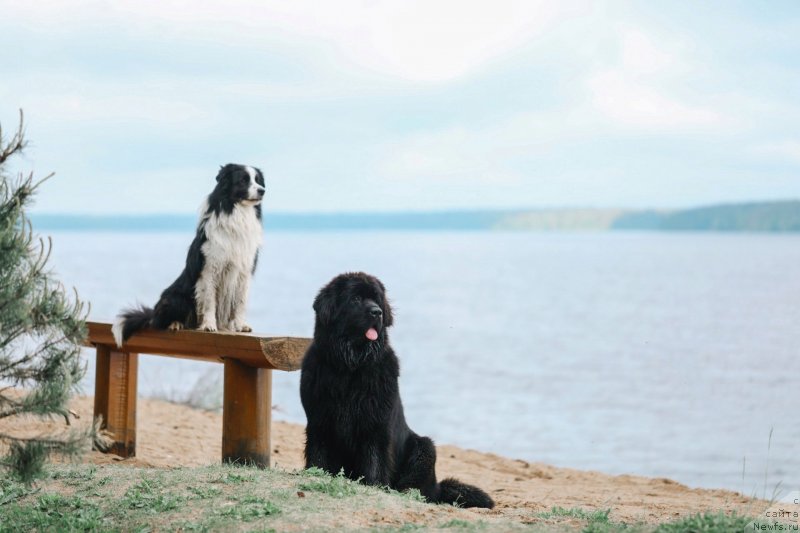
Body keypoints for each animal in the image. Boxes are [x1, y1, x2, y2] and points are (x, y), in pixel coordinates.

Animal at [112, 163, 266, 344]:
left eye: (258, 180)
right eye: (243, 180)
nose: (262, 190)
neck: (238, 213)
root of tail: (153, 313)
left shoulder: (244, 271)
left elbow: (240, 302)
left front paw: (241, 325)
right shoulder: (210, 269)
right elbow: (210, 301)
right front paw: (209, 325)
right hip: (175, 298)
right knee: (159, 321)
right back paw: (175, 323)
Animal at [300, 272, 494, 510]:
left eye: (376, 299)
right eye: (355, 299)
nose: (377, 312)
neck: (350, 366)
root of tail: (437, 488)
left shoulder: (375, 425)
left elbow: (375, 461)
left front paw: (374, 486)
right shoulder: (320, 421)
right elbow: (318, 455)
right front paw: (316, 474)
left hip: (424, 447)